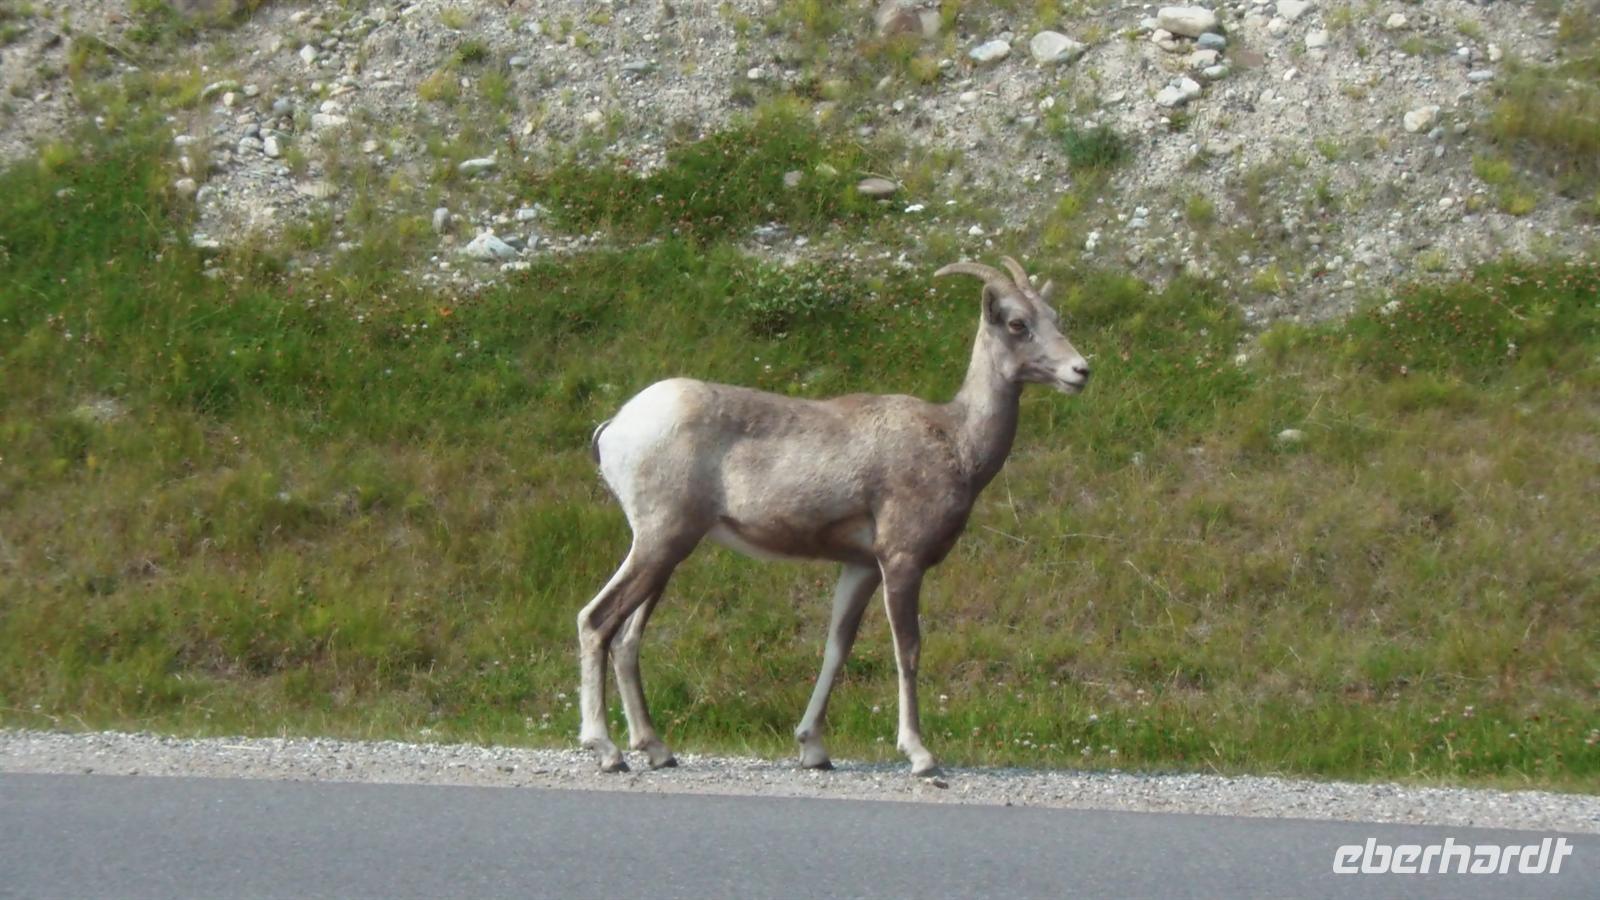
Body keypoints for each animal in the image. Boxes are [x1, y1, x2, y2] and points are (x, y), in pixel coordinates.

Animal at [576, 257, 1090, 776]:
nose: (1080, 371)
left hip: (667, 551)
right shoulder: (901, 561)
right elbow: (908, 649)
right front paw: (920, 755)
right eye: (1017, 323)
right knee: (596, 620)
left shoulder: (860, 567)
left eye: (1055, 317)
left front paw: (814, 750)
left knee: (627, 639)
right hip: (660, 542)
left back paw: (657, 750)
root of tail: (616, 426)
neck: (957, 442)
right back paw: (607, 751)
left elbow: (836, 648)